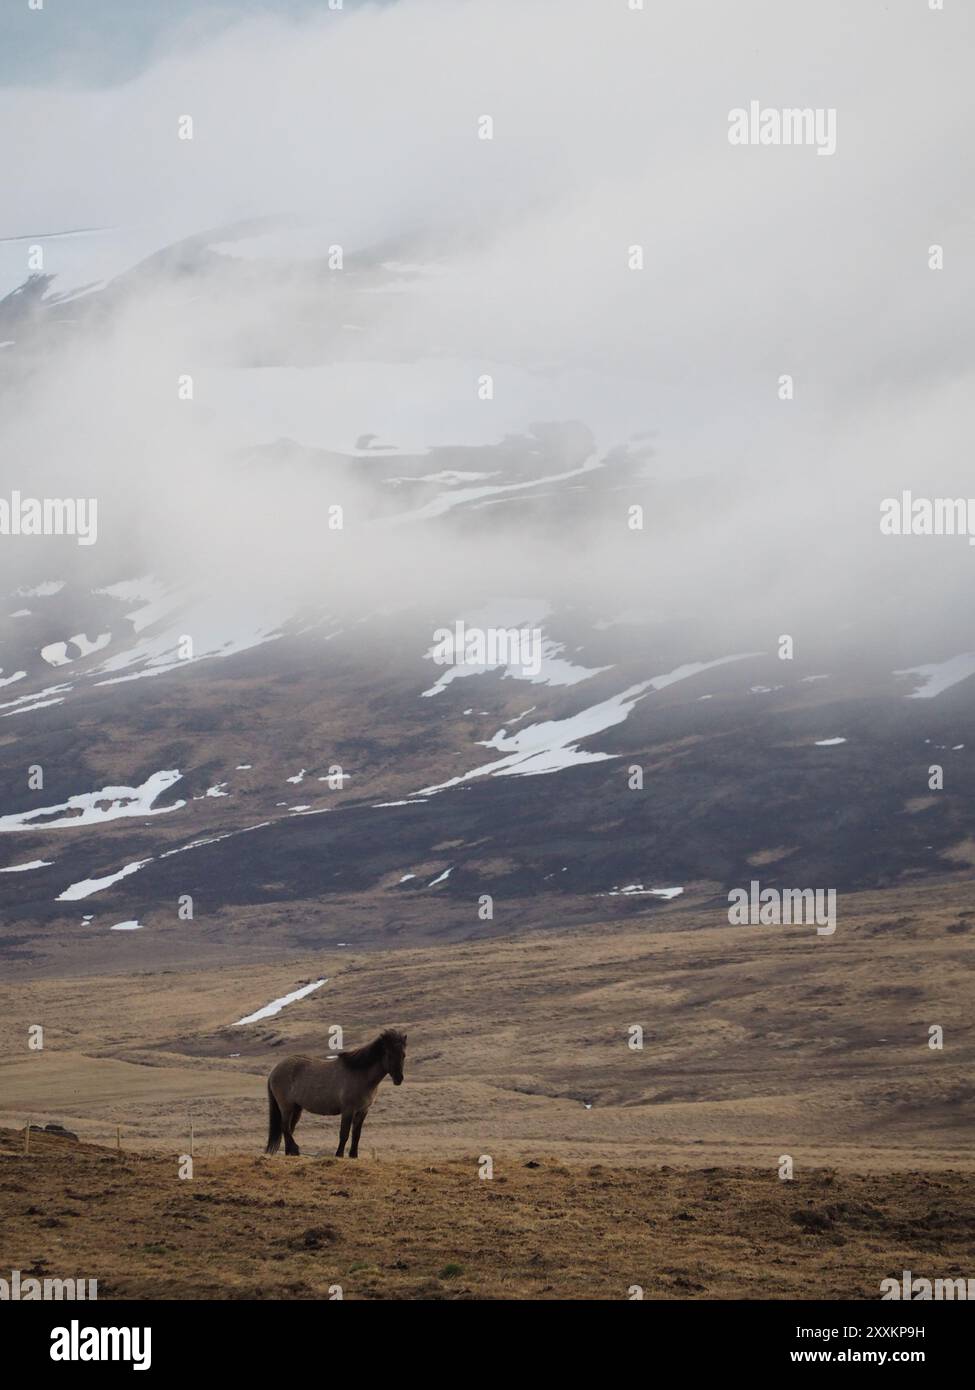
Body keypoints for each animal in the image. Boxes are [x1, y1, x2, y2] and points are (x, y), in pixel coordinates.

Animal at [265, 1029, 407, 1159]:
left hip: (297, 1108)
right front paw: (339, 1154)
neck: (360, 1075)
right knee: (285, 1126)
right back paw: (294, 1149)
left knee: (289, 1128)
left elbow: (356, 1135)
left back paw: (290, 1152)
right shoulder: (348, 1110)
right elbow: (344, 1133)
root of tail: (275, 1070)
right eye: (389, 1054)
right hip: (286, 1106)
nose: (399, 1079)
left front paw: (353, 1155)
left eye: (403, 1055)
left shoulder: (363, 1111)